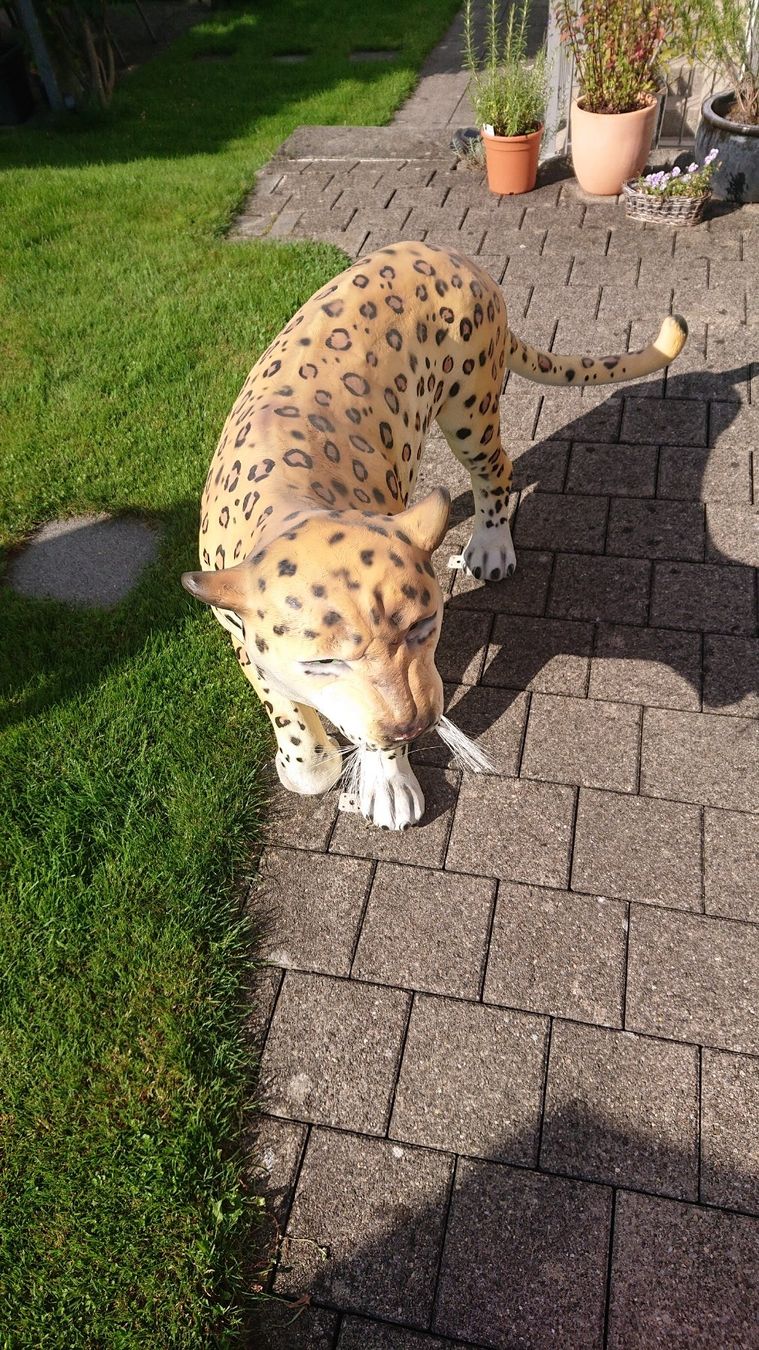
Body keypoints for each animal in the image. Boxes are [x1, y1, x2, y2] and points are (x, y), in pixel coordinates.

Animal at [182, 240, 687, 829]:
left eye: (423, 626)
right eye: (322, 663)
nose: (415, 724)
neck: (292, 501)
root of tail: (448, 254)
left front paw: (387, 783)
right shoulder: (240, 633)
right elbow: (288, 712)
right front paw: (310, 762)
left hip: (471, 404)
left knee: (498, 469)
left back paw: (490, 547)